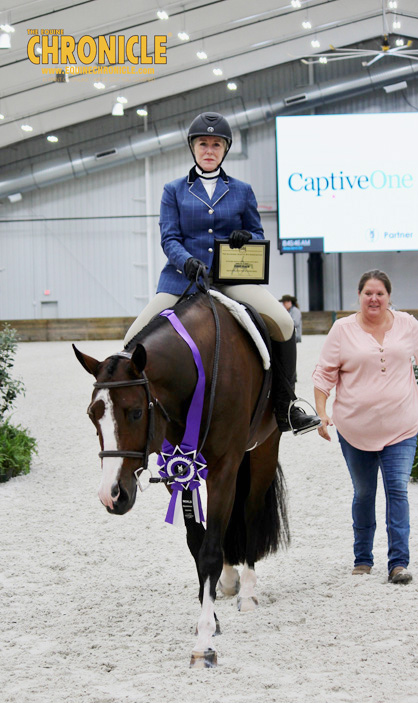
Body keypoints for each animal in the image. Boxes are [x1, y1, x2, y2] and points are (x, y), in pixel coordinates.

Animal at [73, 292, 290, 672]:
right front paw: (211, 615)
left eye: (136, 412)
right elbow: (197, 542)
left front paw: (203, 645)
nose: (112, 495)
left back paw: (248, 592)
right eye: (92, 415)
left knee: (249, 513)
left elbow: (210, 552)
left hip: (264, 446)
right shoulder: (178, 467)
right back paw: (229, 582)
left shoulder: (225, 465)